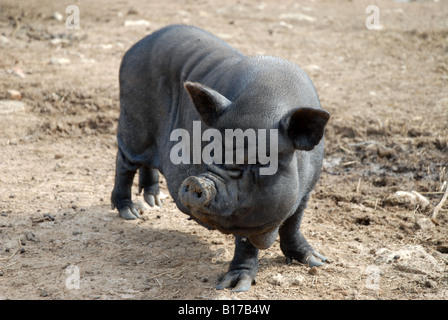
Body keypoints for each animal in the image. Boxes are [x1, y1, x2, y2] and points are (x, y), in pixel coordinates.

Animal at [110, 23, 330, 292]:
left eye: (260, 162)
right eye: (209, 148)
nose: (197, 182)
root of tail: (136, 46)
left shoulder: (306, 190)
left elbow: (293, 224)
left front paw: (317, 261)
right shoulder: (244, 211)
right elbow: (245, 242)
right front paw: (236, 286)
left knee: (146, 165)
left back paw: (155, 202)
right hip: (133, 123)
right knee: (124, 161)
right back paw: (131, 213)